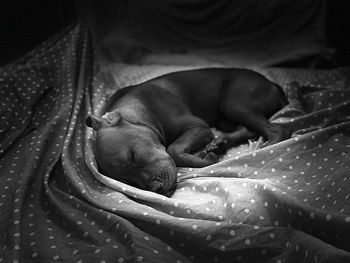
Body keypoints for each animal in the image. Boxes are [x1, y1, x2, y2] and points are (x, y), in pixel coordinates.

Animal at [86, 68, 288, 196]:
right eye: (126, 181)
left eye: (132, 156)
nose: (157, 190)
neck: (141, 110)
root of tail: (272, 83)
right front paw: (209, 154)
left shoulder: (198, 127)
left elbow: (174, 150)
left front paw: (205, 159)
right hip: (224, 117)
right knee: (246, 129)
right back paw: (219, 144)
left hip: (234, 105)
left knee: (276, 130)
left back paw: (261, 150)